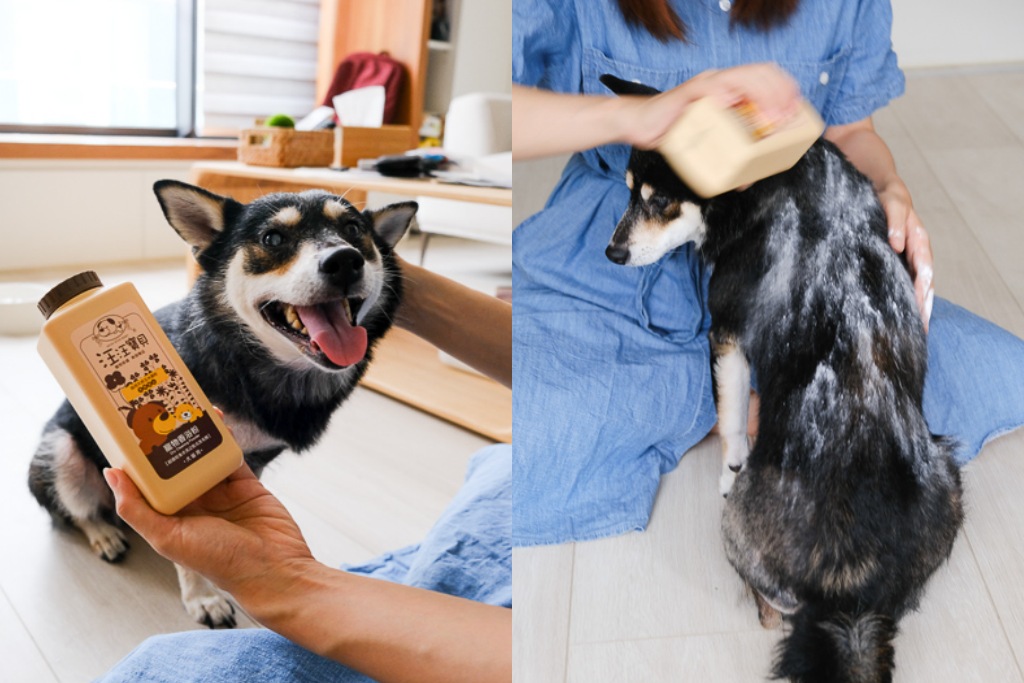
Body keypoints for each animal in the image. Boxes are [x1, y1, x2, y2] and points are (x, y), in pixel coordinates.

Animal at [32, 180, 415, 626]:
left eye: (355, 231)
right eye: (272, 239)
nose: (345, 260)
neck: (276, 371)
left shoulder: (254, 457)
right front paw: (202, 597)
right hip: (61, 452)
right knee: (75, 511)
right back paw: (104, 534)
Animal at [598, 76, 958, 683]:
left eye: (661, 201)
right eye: (627, 191)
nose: (613, 253)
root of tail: (848, 598)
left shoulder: (727, 333)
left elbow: (729, 419)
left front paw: (729, 464)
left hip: (739, 531)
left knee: (772, 612)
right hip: (949, 476)